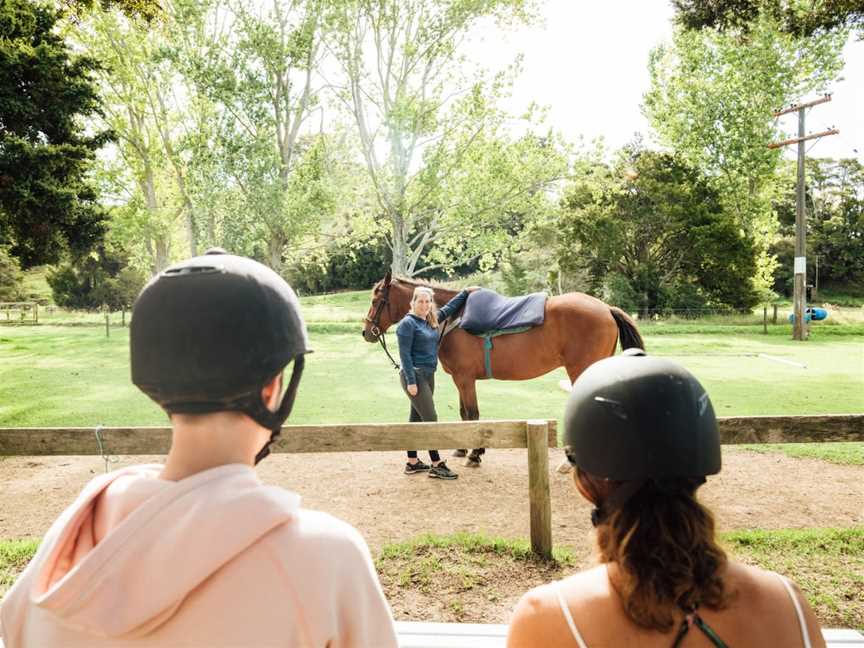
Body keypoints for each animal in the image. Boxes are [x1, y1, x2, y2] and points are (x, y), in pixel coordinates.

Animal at [362, 272, 644, 466]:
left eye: (376, 299)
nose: (367, 332)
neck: (453, 319)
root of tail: (606, 308)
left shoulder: (465, 379)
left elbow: (472, 415)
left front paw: (475, 454)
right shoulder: (461, 380)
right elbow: (464, 414)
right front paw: (464, 449)